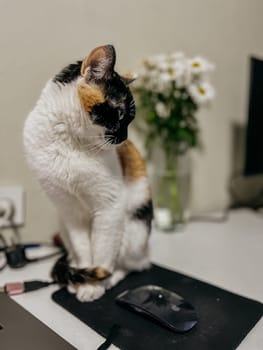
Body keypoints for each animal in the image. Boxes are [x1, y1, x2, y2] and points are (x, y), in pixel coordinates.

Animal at [24, 45, 155, 302]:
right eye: (120, 114)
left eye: (131, 119)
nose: (124, 138)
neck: (69, 142)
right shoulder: (70, 211)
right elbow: (84, 249)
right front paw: (83, 279)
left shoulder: (108, 208)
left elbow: (102, 252)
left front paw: (94, 285)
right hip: (63, 226)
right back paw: (74, 272)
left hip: (134, 230)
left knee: (132, 265)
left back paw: (110, 278)